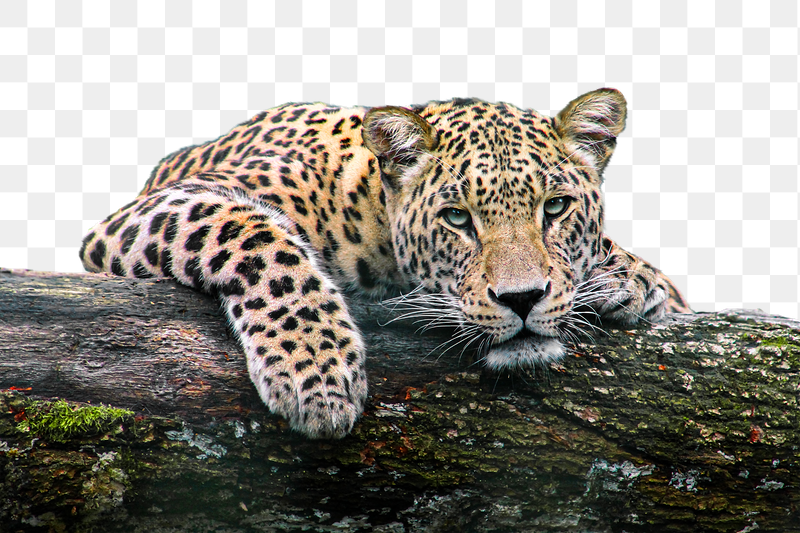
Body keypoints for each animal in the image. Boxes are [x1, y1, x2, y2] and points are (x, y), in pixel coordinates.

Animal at [80, 88, 691, 439]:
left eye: (556, 208)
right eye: (457, 217)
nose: (522, 300)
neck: (371, 209)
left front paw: (631, 278)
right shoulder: (156, 208)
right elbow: (256, 236)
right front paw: (317, 373)